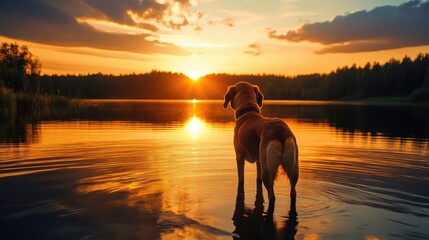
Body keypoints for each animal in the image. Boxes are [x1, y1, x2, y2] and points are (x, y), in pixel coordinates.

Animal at [224, 81, 298, 213]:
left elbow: (241, 179)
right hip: (292, 167)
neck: (248, 111)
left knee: (272, 196)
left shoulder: (239, 157)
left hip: (267, 171)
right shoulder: (259, 160)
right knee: (293, 192)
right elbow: (257, 180)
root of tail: (279, 129)